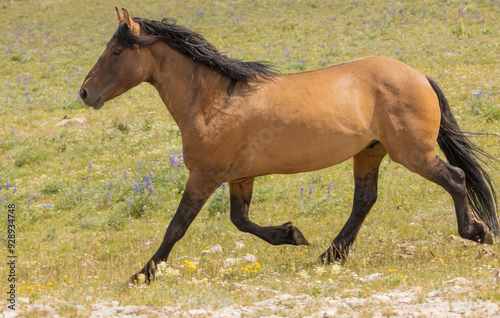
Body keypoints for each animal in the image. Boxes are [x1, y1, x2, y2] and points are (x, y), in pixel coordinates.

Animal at [80, 7, 498, 282]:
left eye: (116, 52)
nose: (85, 93)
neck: (213, 101)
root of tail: (418, 75)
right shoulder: (239, 177)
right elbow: (241, 220)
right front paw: (290, 235)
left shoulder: (204, 175)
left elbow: (176, 227)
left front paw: (143, 273)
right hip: (370, 153)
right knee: (365, 200)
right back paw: (330, 255)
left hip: (413, 153)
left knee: (456, 178)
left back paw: (478, 232)